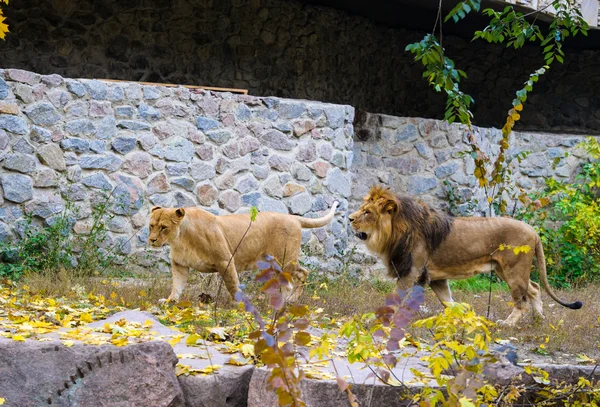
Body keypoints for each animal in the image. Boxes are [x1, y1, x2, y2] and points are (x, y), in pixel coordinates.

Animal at [149, 202, 338, 304]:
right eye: (151, 225)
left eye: (164, 227)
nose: (151, 240)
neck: (180, 238)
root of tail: (294, 217)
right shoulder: (180, 264)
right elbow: (177, 285)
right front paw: (170, 301)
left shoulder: (225, 260)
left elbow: (232, 284)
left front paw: (239, 305)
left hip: (284, 259)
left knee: (302, 272)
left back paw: (290, 299)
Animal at [346, 186, 580, 326]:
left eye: (367, 212)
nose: (349, 218)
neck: (395, 232)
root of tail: (533, 231)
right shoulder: (435, 277)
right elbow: (449, 302)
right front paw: (466, 317)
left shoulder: (410, 272)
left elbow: (394, 299)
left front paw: (376, 321)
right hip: (504, 270)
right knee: (535, 288)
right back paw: (539, 319)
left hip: (514, 270)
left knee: (522, 299)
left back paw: (508, 324)